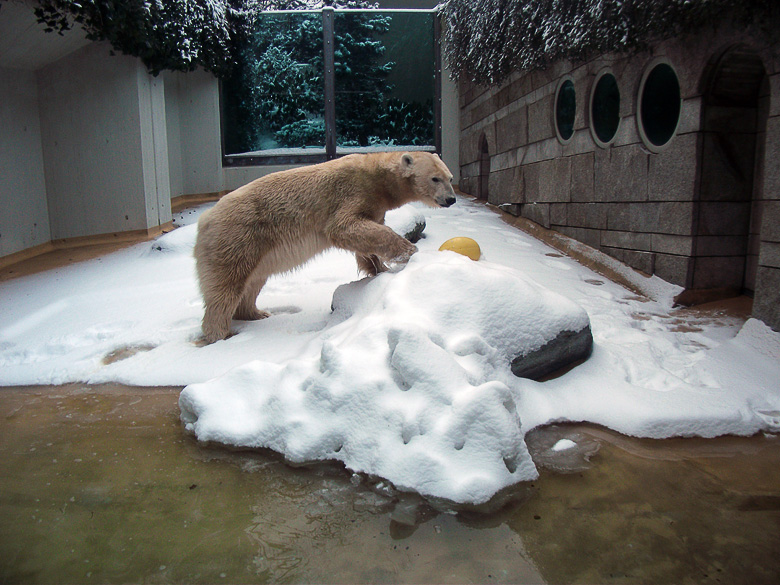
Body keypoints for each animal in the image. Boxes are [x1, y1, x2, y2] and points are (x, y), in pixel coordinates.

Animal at [194, 149, 458, 342]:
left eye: (450, 178)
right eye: (435, 178)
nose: (451, 199)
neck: (377, 178)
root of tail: (204, 220)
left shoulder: (374, 205)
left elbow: (366, 238)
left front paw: (379, 269)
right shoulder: (351, 192)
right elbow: (344, 228)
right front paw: (409, 253)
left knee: (252, 282)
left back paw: (257, 313)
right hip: (237, 238)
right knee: (225, 288)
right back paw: (220, 334)